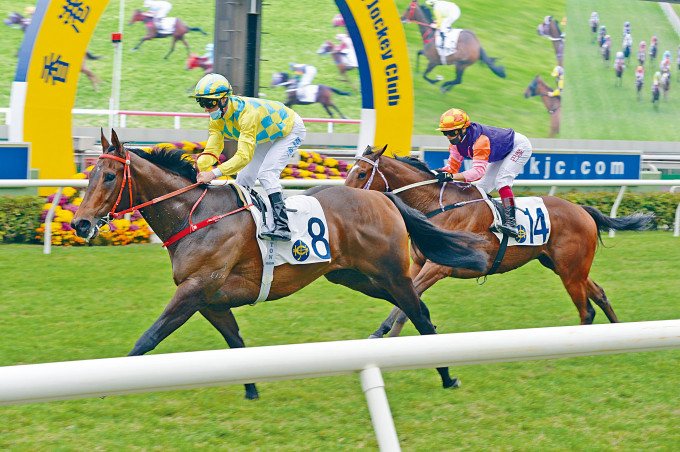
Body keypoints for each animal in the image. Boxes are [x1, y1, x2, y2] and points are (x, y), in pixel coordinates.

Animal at [71, 130, 488, 396]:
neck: (197, 216)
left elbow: (147, 339)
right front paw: (252, 390)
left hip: (387, 272)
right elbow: (236, 343)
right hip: (353, 276)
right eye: (90, 174)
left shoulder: (195, 290)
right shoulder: (210, 300)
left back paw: (447, 376)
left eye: (109, 176)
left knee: (415, 309)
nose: (80, 223)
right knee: (415, 307)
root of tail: (384, 197)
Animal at [346, 147, 652, 340]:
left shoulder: (438, 267)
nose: (344, 198)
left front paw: (381, 333)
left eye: (361, 173)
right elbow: (407, 302)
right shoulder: (419, 264)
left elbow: (407, 303)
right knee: (599, 294)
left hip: (570, 270)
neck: (437, 206)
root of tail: (582, 209)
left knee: (586, 309)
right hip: (564, 266)